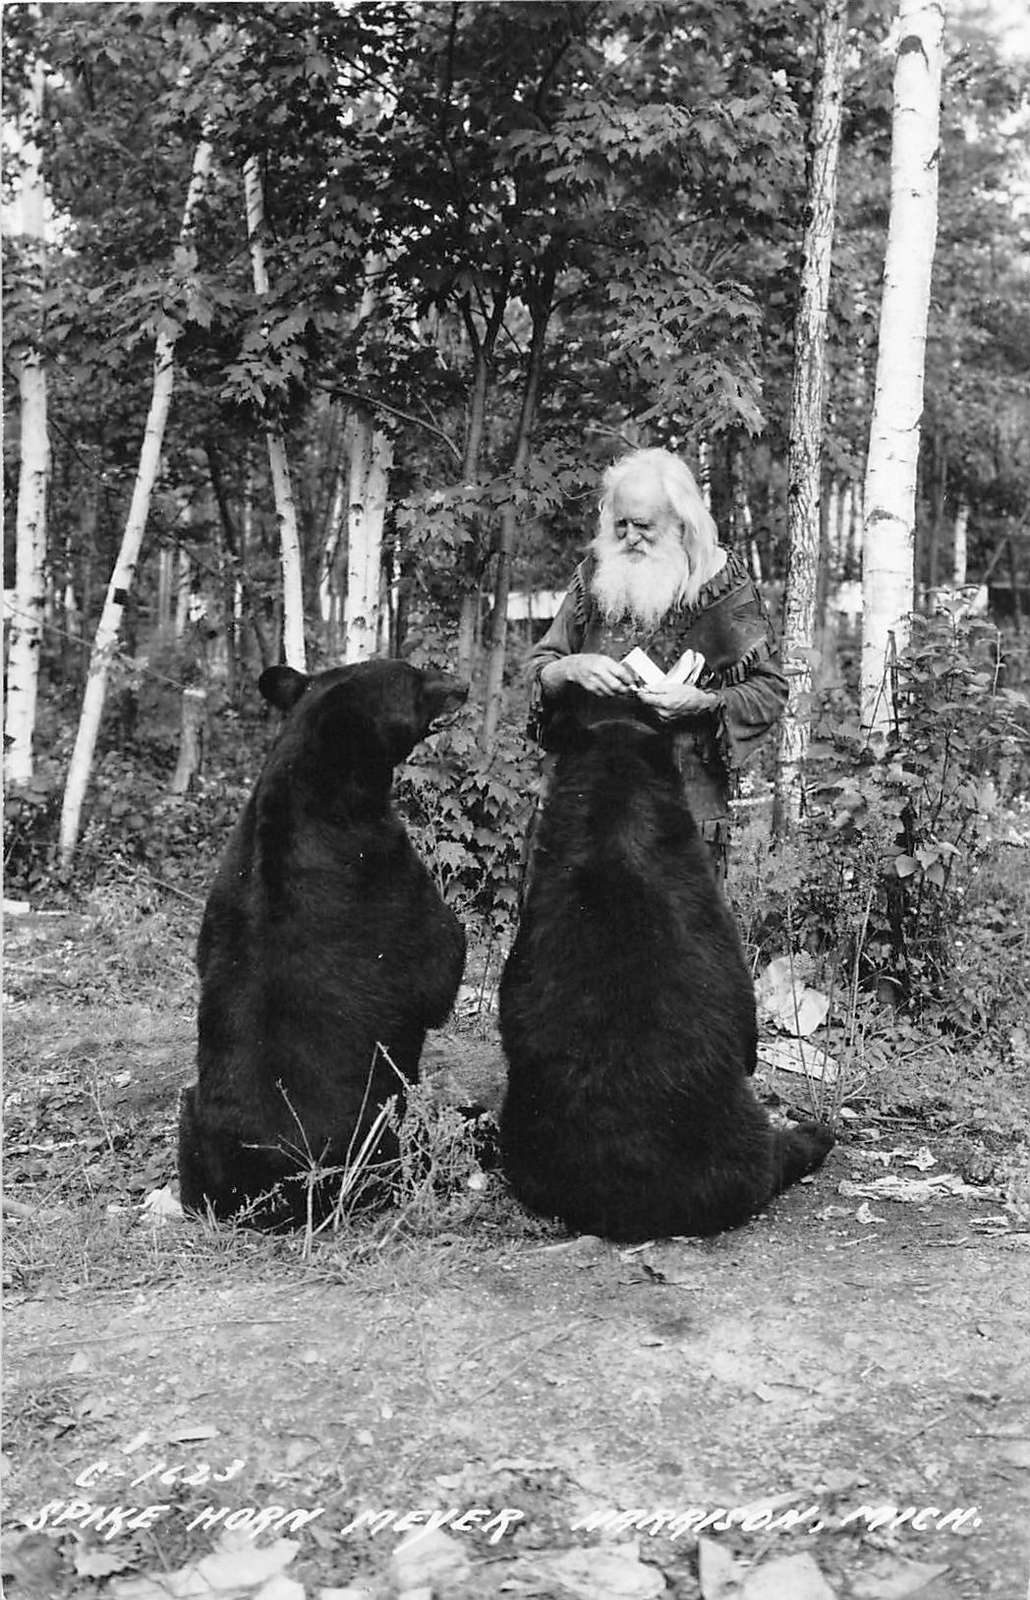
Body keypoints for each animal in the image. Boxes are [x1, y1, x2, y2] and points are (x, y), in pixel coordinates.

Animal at [178, 658, 468, 1228]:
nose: (462, 685)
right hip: (384, 1133)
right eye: (415, 680)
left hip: (191, 1115)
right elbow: (438, 965)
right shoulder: (384, 870)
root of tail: (268, 1193)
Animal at [499, 709, 834, 1243]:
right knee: (765, 1162)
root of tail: (641, 1208)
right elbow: (740, 1000)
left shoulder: (536, 915)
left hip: (524, 1130)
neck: (616, 815)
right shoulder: (701, 899)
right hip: (735, 1138)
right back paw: (811, 1137)